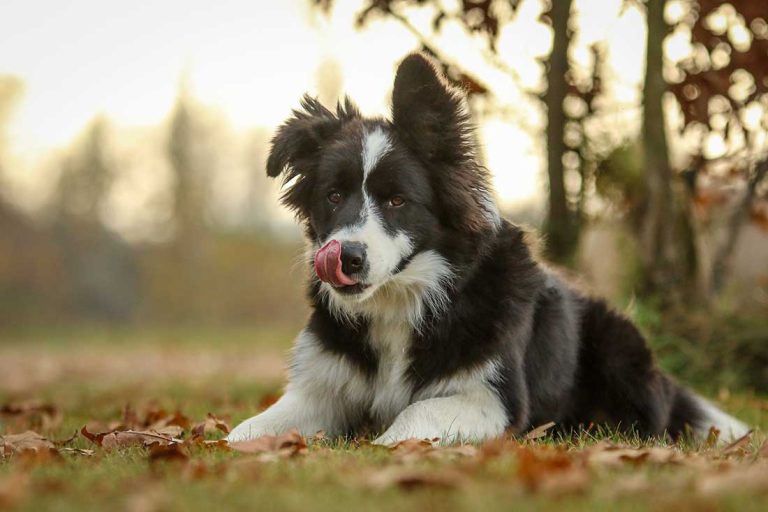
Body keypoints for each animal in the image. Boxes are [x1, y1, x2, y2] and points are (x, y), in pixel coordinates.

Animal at [225, 53, 748, 444]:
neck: (404, 300)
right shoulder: (318, 390)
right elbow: (245, 431)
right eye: (333, 196)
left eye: (397, 200)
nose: (347, 258)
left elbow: (414, 416)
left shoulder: (493, 398)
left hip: (620, 349)